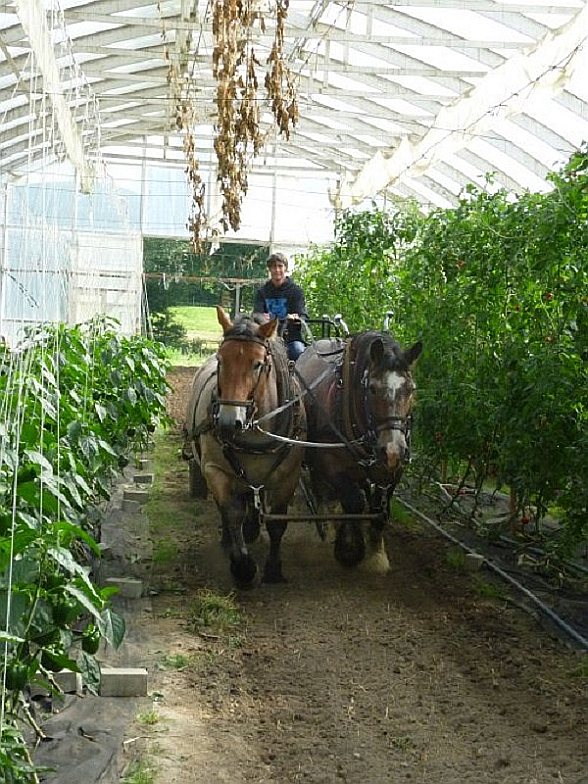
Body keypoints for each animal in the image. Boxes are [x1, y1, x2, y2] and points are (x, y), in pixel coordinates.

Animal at [184, 306, 306, 588]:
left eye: (257, 364)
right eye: (221, 359)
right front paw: (242, 567)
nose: (228, 422)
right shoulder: (215, 470)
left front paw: (273, 569)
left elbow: (277, 523)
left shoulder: (288, 477)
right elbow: (232, 514)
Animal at [296, 330, 420, 568]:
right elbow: (354, 501)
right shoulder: (330, 461)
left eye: (411, 389)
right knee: (319, 487)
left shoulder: (392, 470)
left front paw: (377, 554)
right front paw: (349, 549)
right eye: (372, 388)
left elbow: (380, 509)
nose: (393, 451)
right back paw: (325, 523)